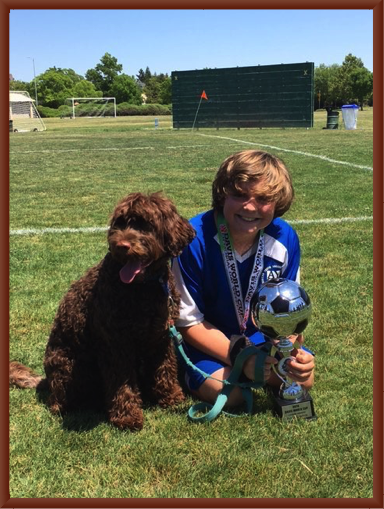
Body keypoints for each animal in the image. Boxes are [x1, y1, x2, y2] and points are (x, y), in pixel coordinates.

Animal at [9, 192, 195, 430]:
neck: (144, 286)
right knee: (59, 402)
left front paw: (171, 396)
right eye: (119, 223)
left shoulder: (160, 336)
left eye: (145, 224)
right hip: (72, 366)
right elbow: (121, 381)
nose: (121, 245)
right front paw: (126, 416)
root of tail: (47, 382)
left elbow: (165, 367)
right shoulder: (116, 344)